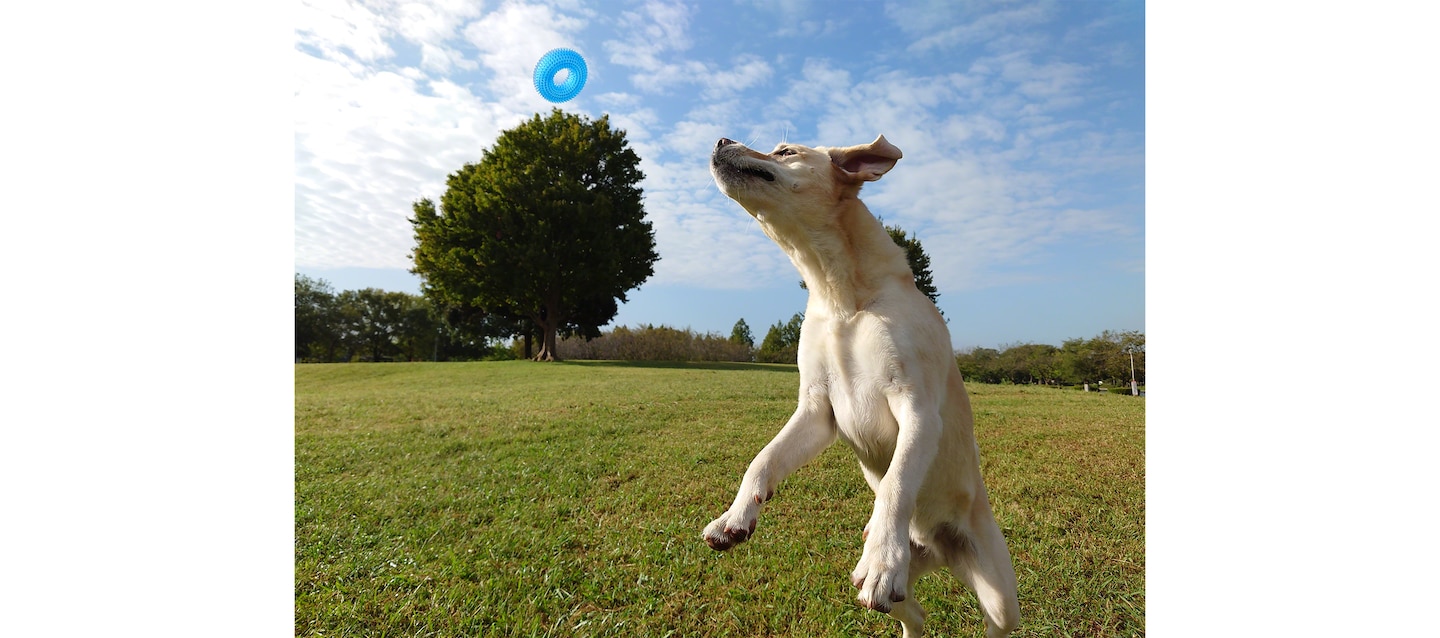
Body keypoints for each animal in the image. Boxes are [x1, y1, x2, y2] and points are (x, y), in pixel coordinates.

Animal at [702, 136, 1019, 638]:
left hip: (1001, 596)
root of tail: (937, 549)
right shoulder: (817, 411)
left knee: (992, 620)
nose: (720, 140)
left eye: (785, 150)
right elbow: (762, 461)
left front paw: (882, 559)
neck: (841, 298)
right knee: (916, 616)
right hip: (907, 585)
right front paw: (735, 517)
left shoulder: (917, 407)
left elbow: (896, 483)